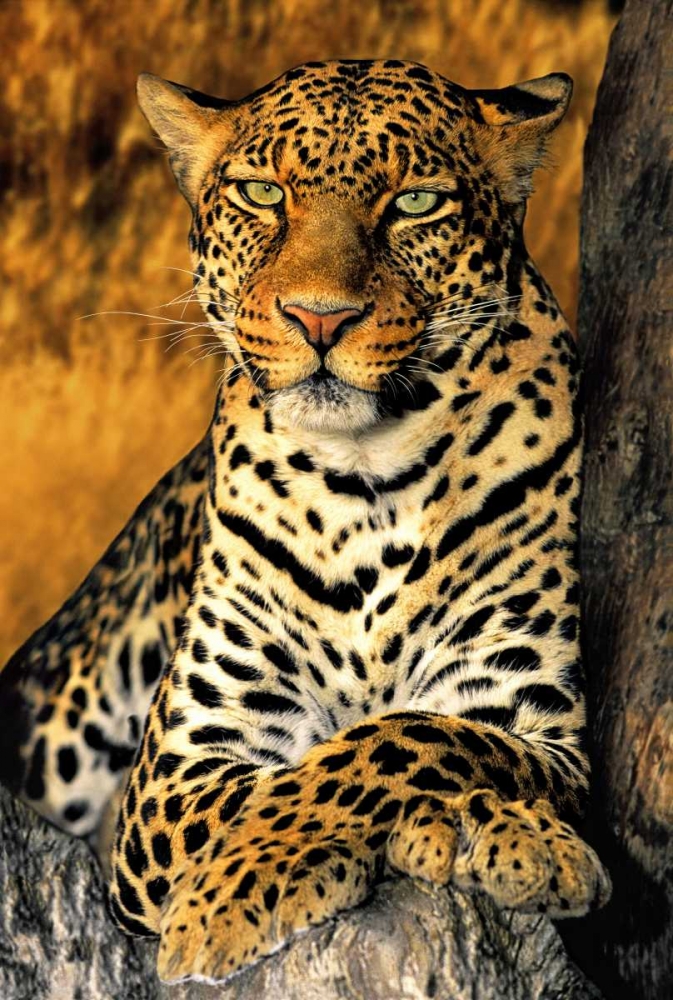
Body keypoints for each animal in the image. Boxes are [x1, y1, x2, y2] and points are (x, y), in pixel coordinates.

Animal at [0, 59, 611, 984]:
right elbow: (291, 781)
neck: (368, 479)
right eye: (261, 193)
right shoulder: (180, 766)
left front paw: (501, 832)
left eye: (413, 203)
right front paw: (223, 903)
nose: (320, 317)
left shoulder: (535, 720)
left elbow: (408, 739)